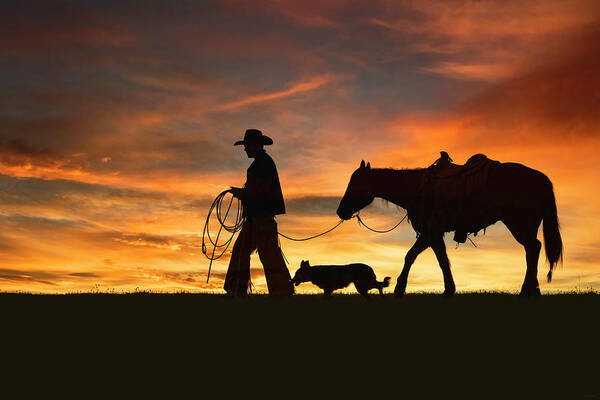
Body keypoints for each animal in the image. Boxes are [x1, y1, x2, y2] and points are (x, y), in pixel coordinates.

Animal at [338, 158, 564, 296]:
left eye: (354, 184)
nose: (340, 211)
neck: (418, 188)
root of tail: (541, 178)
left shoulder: (430, 231)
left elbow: (412, 256)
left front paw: (400, 288)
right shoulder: (434, 234)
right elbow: (441, 260)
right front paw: (449, 289)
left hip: (519, 224)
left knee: (532, 248)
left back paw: (527, 290)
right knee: (533, 249)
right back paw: (532, 289)